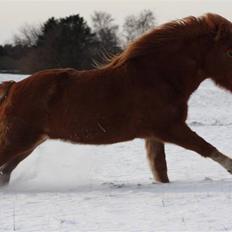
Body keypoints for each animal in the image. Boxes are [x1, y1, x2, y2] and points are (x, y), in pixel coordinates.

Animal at [0, 13, 232, 186]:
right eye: (229, 52)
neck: (159, 76)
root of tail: (12, 87)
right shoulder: (170, 128)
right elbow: (206, 148)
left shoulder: (155, 136)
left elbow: (161, 171)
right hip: (18, 140)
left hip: (30, 142)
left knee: (5, 172)